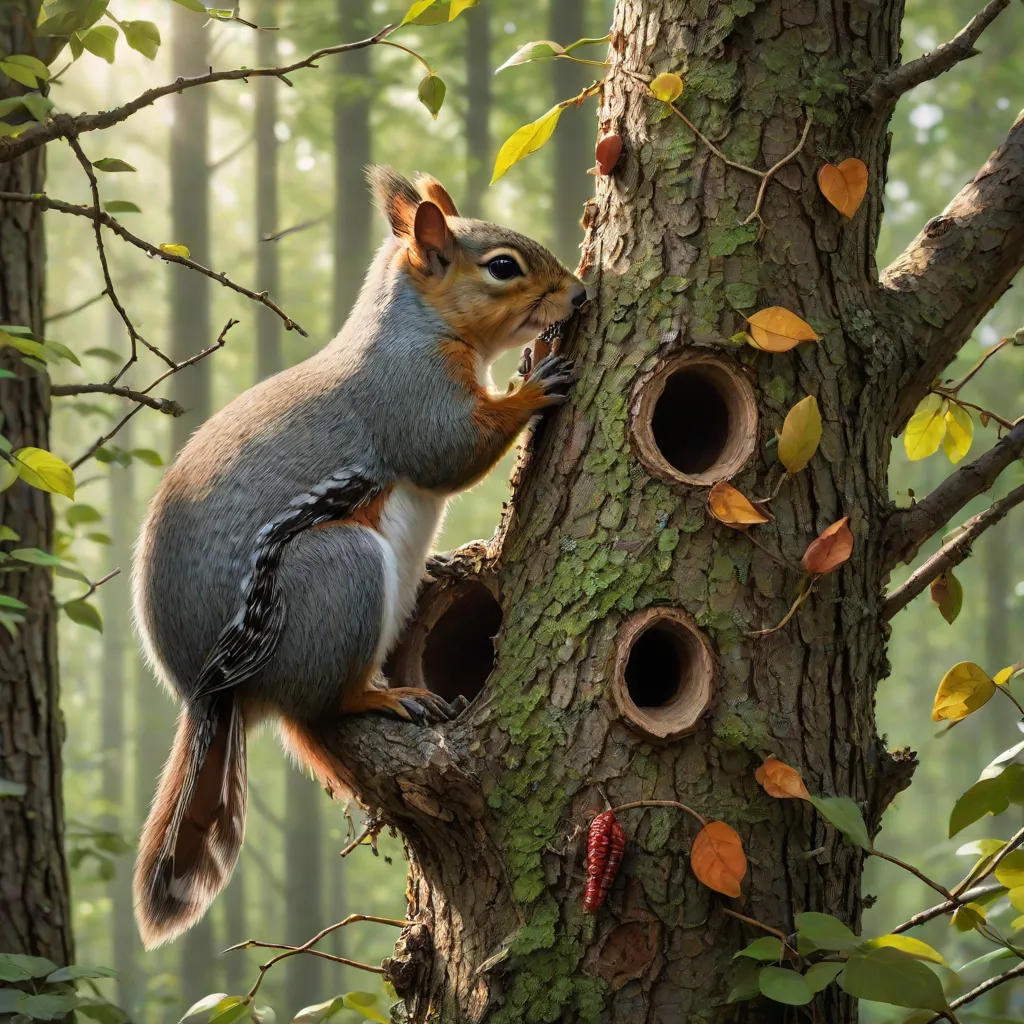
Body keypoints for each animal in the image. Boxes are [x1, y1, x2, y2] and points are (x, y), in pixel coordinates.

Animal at [131, 166, 585, 949]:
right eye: (503, 267)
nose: (580, 292)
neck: (416, 325)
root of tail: (206, 690)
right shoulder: (409, 397)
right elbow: (450, 449)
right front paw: (530, 388)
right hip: (337, 574)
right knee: (330, 699)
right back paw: (388, 694)